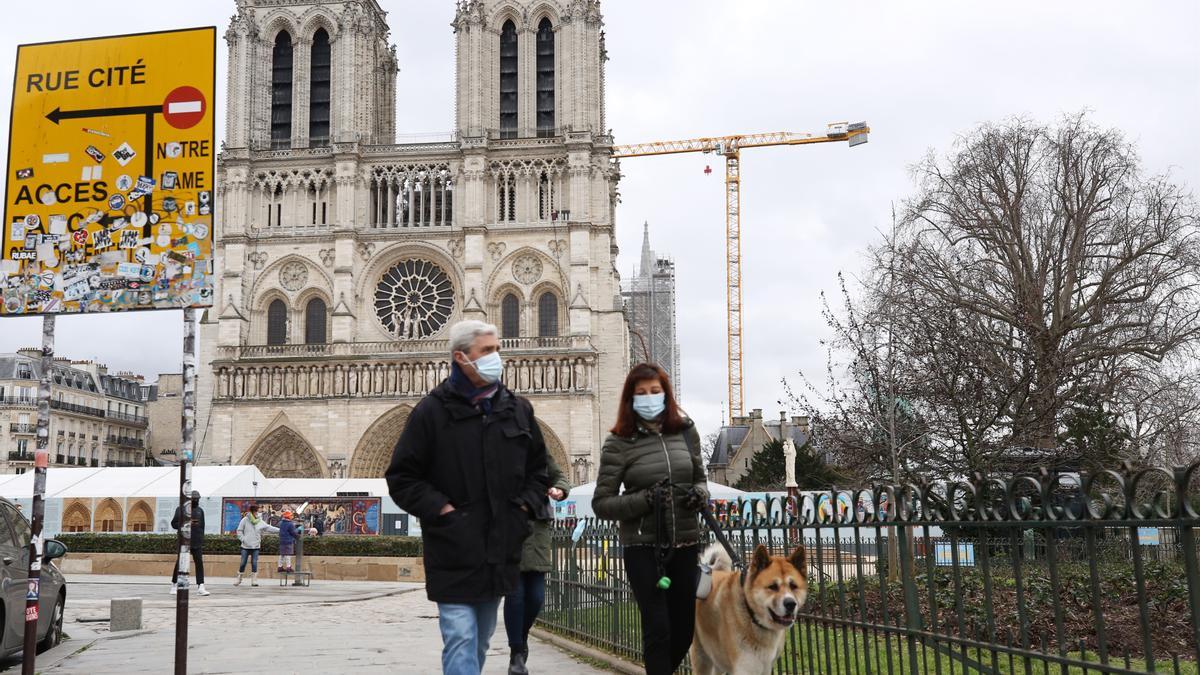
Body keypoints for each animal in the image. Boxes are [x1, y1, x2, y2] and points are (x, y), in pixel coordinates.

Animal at [691, 540, 811, 672]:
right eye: (773, 587)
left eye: (793, 586)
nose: (790, 604)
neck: (751, 615)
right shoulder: (744, 668)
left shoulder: (766, 667)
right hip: (701, 657)